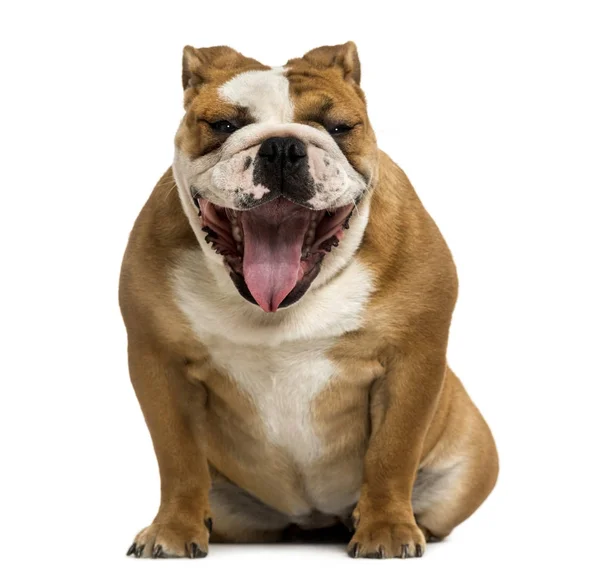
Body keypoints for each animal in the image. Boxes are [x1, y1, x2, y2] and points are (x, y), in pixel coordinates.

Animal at [119, 41, 500, 560]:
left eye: (339, 127)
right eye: (224, 125)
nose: (282, 146)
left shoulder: (411, 362)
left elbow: (392, 451)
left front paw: (386, 528)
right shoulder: (159, 363)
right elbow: (178, 458)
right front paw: (174, 529)